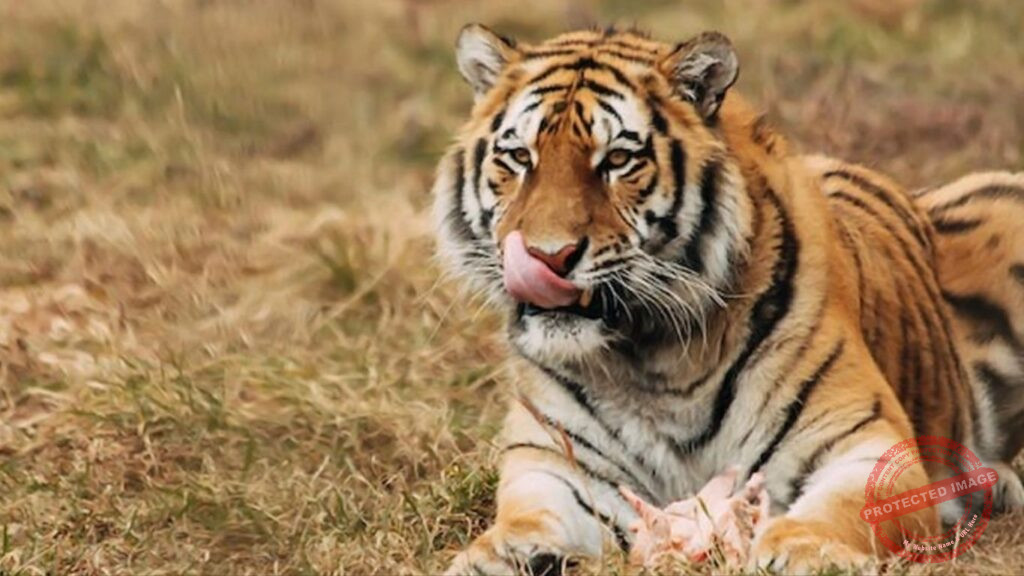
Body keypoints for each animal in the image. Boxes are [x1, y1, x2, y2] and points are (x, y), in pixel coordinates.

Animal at [431, 23, 1024, 574]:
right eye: (518, 157)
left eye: (618, 160)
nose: (547, 256)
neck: (651, 359)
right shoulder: (553, 465)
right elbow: (528, 521)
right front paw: (493, 555)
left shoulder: (863, 444)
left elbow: (833, 514)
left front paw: (802, 551)